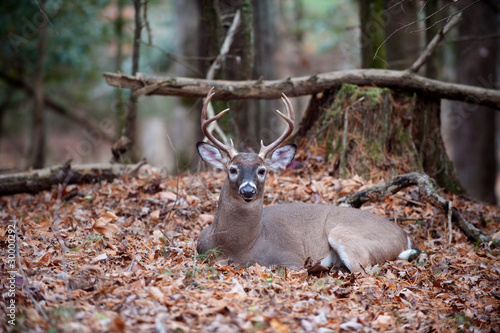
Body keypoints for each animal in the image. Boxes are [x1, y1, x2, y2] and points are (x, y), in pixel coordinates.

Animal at [197, 88, 416, 272]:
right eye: (232, 169)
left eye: (262, 171)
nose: (248, 191)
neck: (237, 247)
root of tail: (404, 236)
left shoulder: (291, 258)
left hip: (348, 237)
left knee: (365, 270)